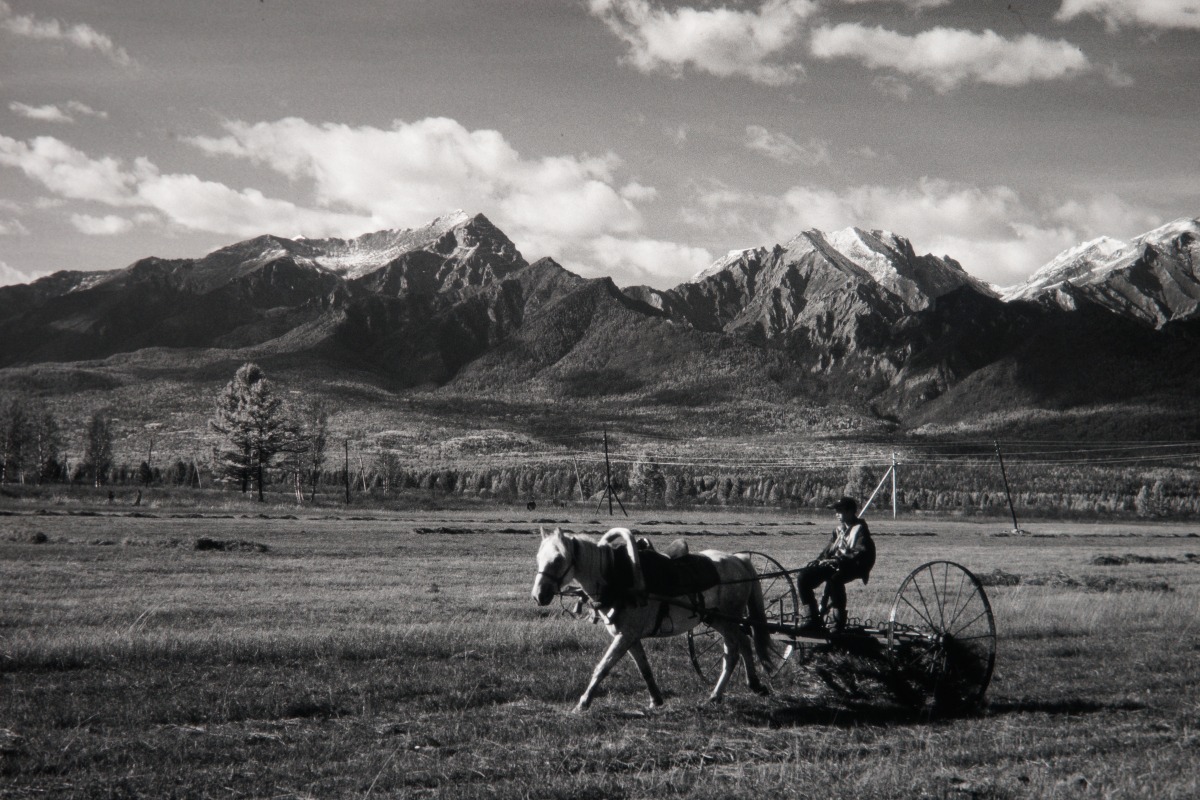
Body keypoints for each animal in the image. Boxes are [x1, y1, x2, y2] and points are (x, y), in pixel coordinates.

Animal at [530, 527, 772, 710]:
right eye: (538, 558)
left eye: (558, 559)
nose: (538, 595)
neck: (616, 576)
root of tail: (739, 560)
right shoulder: (629, 637)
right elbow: (644, 668)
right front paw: (656, 699)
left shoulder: (625, 636)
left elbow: (603, 667)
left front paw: (583, 702)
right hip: (717, 619)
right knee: (744, 641)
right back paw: (755, 684)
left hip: (728, 620)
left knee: (732, 653)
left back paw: (716, 695)